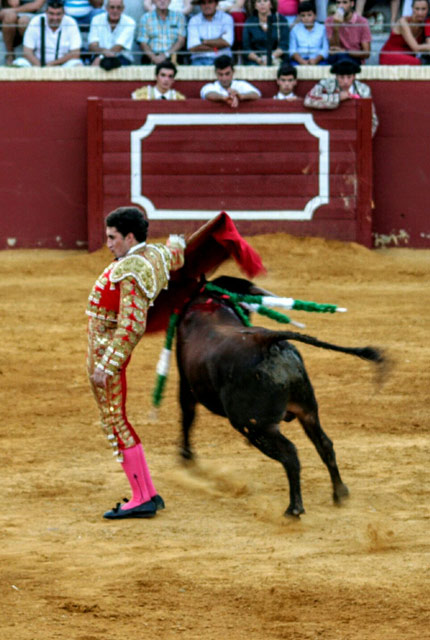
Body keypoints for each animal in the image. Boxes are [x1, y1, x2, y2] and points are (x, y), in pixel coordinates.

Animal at [176, 278, 386, 516]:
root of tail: (268, 341)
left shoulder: (185, 384)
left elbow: (187, 416)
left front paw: (186, 458)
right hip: (307, 410)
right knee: (324, 444)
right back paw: (339, 493)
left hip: (255, 426)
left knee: (290, 454)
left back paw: (294, 509)